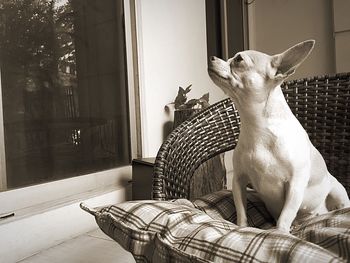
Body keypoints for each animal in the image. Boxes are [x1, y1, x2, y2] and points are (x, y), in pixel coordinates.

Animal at [208, 40, 350, 232]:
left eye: (238, 59)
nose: (212, 57)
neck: (258, 127)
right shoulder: (238, 180)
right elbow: (241, 210)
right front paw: (242, 228)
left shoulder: (295, 185)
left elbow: (285, 215)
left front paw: (280, 233)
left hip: (338, 193)